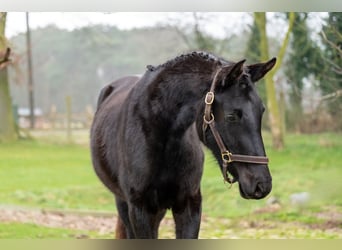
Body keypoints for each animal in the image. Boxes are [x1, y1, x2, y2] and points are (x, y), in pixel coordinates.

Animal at [90, 51, 276, 238]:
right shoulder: (139, 209)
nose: (262, 185)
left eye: (261, 111)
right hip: (124, 204)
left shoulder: (189, 205)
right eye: (232, 116)